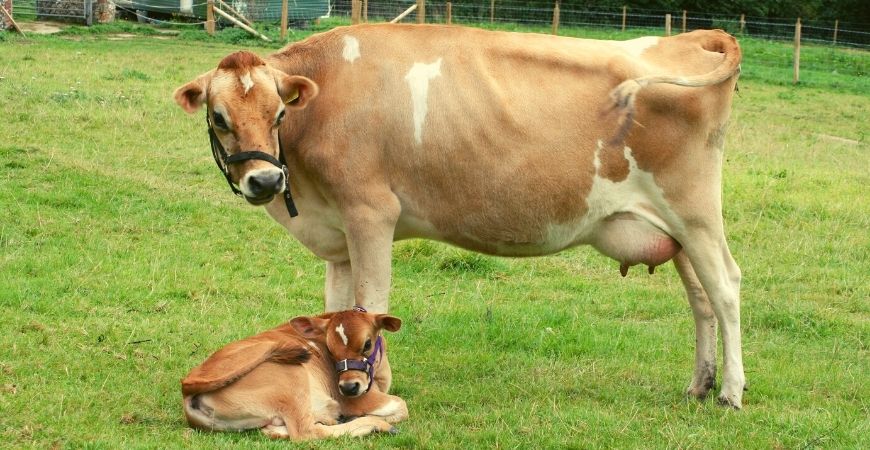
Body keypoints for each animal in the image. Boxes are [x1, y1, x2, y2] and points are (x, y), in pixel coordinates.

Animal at [174, 24, 746, 408]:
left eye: (278, 113)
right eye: (219, 117)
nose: (265, 182)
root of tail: (690, 38)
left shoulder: (371, 213)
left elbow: (371, 303)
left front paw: (376, 386)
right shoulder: (336, 233)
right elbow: (335, 309)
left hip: (695, 212)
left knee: (724, 287)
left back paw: (731, 392)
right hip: (673, 228)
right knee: (700, 300)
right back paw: (699, 384)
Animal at [181, 309, 407, 440]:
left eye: (367, 344)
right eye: (331, 350)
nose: (349, 387)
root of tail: (187, 386)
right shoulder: (356, 399)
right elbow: (401, 405)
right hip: (292, 376)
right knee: (306, 432)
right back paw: (376, 425)